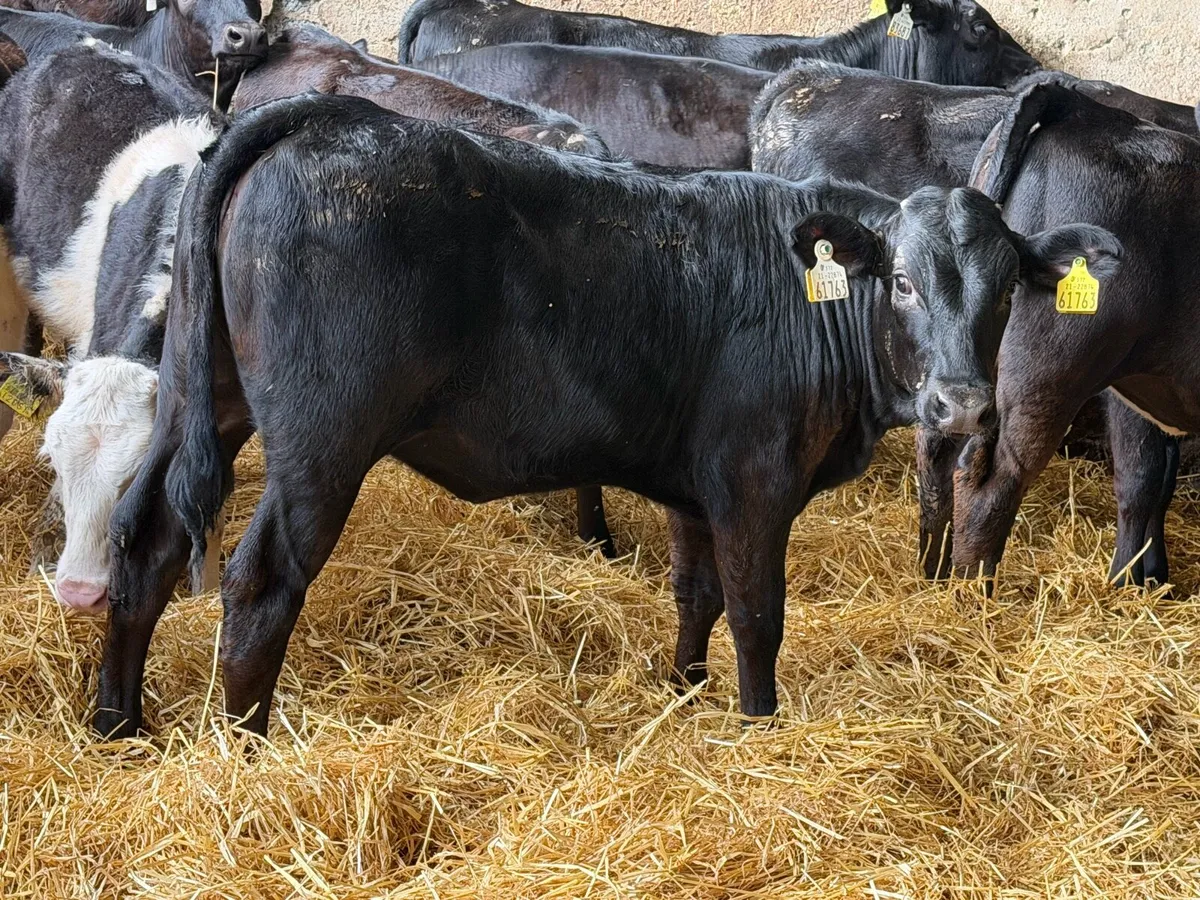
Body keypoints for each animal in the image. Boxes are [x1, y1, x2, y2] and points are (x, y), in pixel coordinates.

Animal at [94, 94, 1116, 740]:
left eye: (1004, 294)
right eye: (902, 281)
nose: (962, 405)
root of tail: (329, 116)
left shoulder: (694, 485)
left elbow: (697, 595)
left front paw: (685, 693)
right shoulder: (753, 481)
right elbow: (757, 612)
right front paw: (759, 725)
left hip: (200, 397)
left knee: (146, 540)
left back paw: (118, 723)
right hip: (321, 443)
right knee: (260, 580)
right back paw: (247, 748)